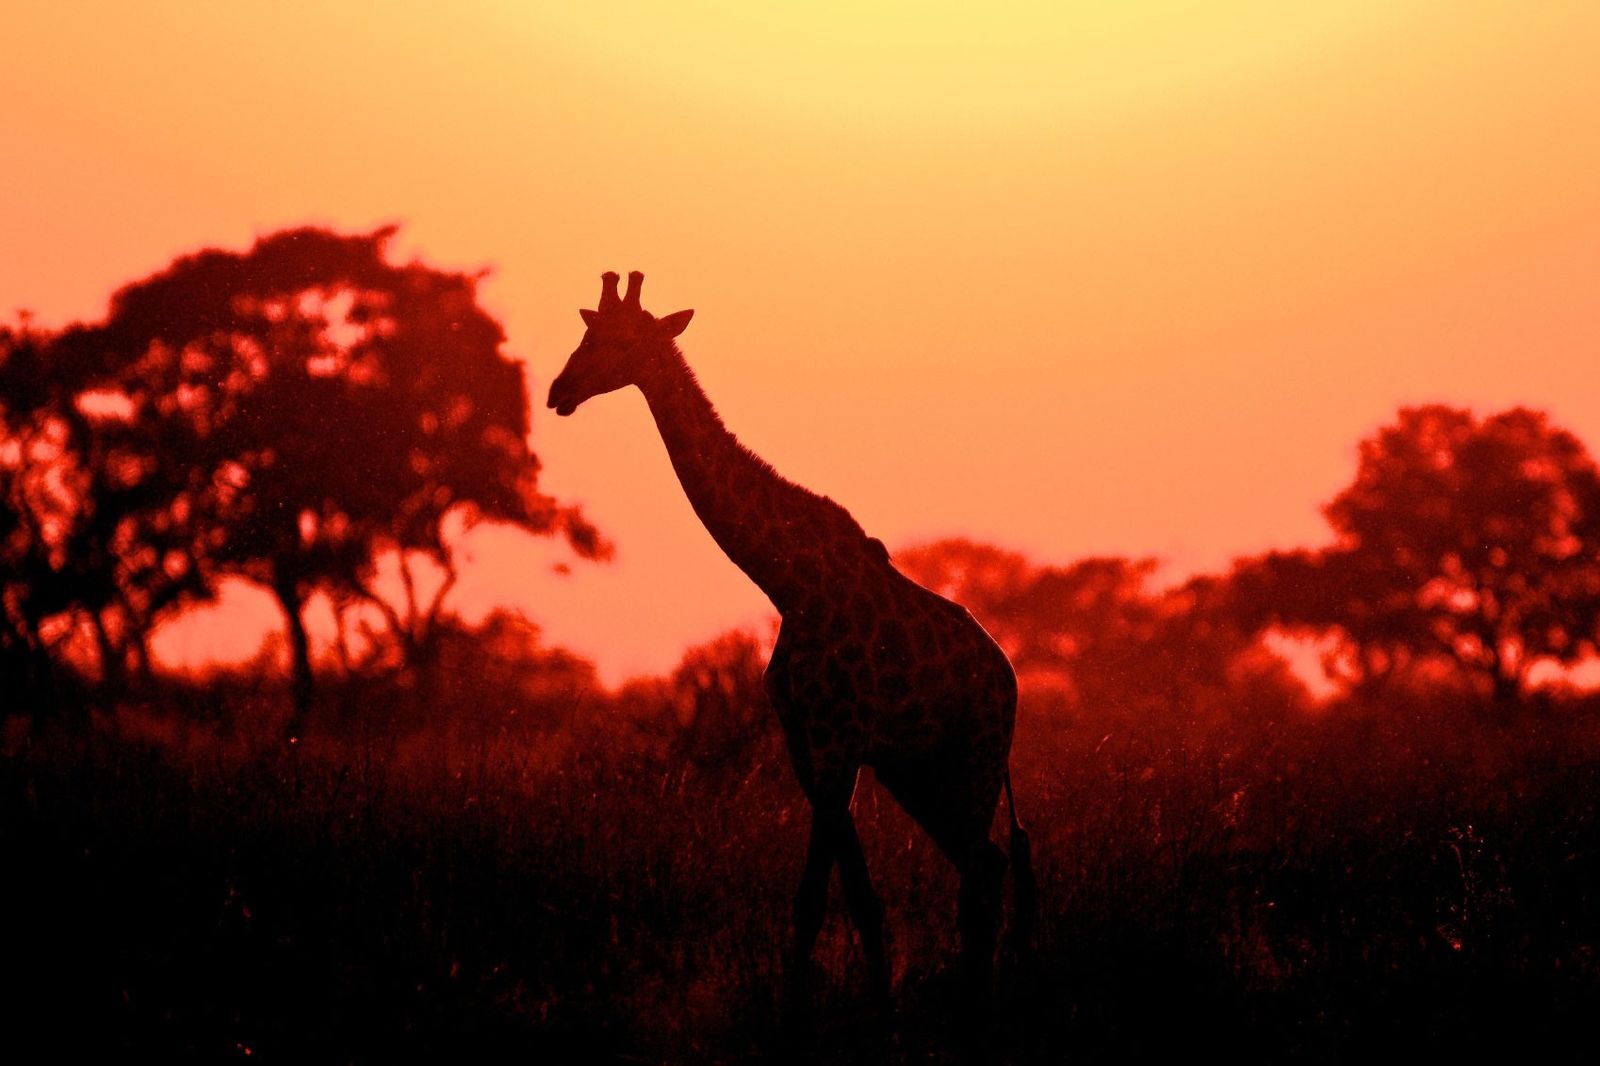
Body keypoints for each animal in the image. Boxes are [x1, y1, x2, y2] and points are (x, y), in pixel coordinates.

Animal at [547, 270, 1036, 998]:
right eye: (586, 334)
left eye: (618, 341)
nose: (558, 392)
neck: (788, 583)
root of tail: (1007, 678)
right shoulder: (808, 743)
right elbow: (858, 898)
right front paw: (873, 1000)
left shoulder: (837, 741)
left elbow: (813, 897)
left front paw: (799, 1009)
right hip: (916, 769)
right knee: (988, 862)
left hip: (973, 756)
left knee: (979, 869)